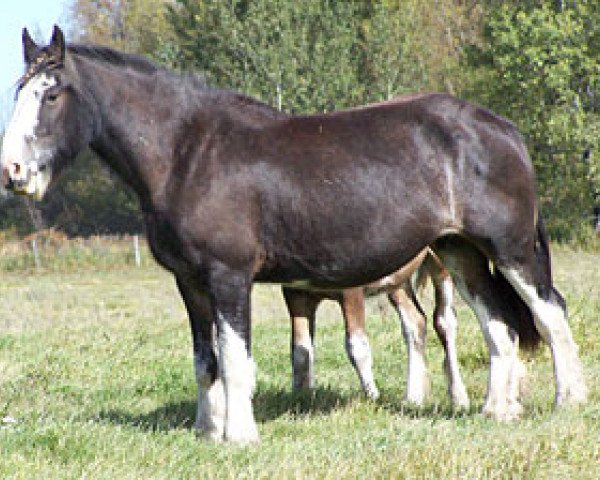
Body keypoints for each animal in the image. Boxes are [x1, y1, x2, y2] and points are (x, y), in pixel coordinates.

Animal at [284, 248, 472, 408]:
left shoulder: (351, 291)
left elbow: (357, 348)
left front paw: (373, 397)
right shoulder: (296, 294)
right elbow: (301, 352)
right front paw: (302, 398)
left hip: (442, 261)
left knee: (445, 321)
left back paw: (459, 398)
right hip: (399, 280)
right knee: (415, 322)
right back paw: (413, 398)